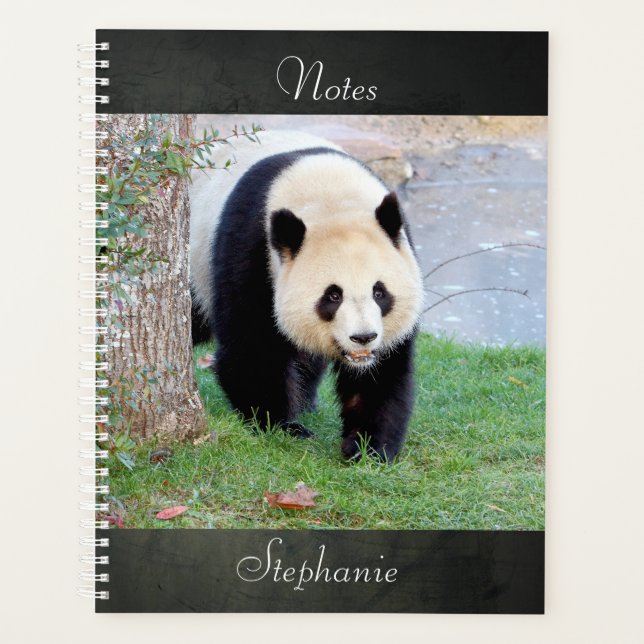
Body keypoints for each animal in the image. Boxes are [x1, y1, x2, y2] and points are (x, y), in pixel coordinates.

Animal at [189, 131, 424, 462]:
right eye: (333, 296)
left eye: (380, 292)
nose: (363, 337)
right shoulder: (252, 250)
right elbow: (252, 348)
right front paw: (280, 426)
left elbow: (382, 373)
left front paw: (367, 447)